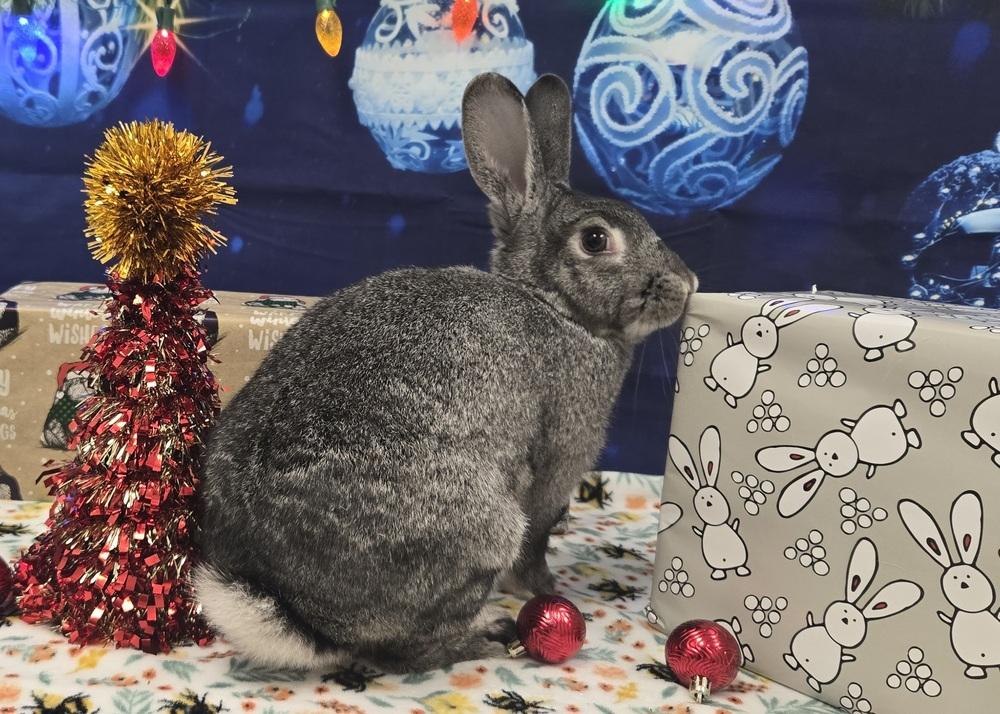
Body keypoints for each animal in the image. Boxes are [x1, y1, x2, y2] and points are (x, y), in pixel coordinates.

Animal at [192, 73, 697, 674]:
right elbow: (537, 543)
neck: (552, 304)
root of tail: (300, 614)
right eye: (596, 240)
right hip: (484, 529)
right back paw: (487, 636)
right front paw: (548, 589)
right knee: (409, 647)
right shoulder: (557, 462)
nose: (688, 283)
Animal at [667, 426, 750, 580]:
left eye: (711, 495)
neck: (716, 526)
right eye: (702, 498)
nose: (709, 503)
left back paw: (742, 570)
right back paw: (718, 574)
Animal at [704, 299, 840, 408]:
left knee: (729, 395)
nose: (759, 332)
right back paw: (711, 383)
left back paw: (729, 399)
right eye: (759, 324)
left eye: (767, 331)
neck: (748, 351)